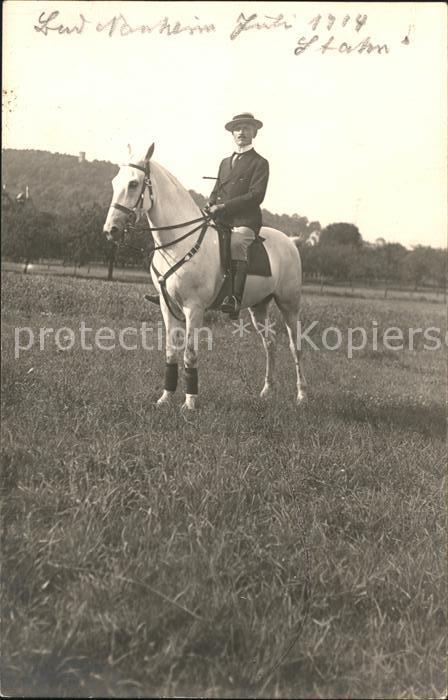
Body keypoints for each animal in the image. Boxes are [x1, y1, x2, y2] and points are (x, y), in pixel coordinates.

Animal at [103, 144, 307, 410]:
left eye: (134, 184)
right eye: (114, 182)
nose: (111, 230)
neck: (178, 242)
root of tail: (290, 242)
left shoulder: (194, 308)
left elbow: (190, 353)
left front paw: (190, 402)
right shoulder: (167, 306)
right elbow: (170, 351)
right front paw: (165, 398)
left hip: (289, 304)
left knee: (296, 346)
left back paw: (302, 395)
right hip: (258, 307)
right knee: (270, 343)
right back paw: (266, 391)